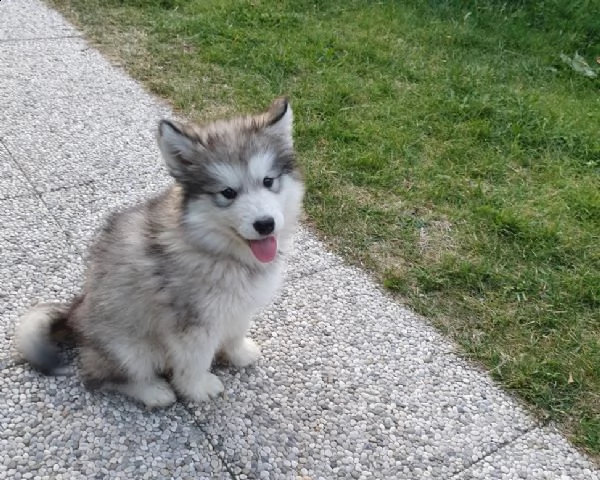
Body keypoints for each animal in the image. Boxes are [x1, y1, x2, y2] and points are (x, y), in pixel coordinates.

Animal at [16, 97, 304, 408]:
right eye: (227, 193)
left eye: (268, 181)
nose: (265, 224)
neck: (216, 249)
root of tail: (73, 315)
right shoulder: (193, 325)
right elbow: (196, 360)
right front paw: (198, 388)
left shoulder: (237, 306)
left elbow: (236, 332)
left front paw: (239, 354)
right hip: (130, 349)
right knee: (100, 377)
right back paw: (153, 391)